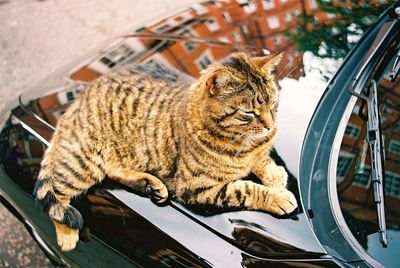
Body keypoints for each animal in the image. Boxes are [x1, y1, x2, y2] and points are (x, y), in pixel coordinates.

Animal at [33, 51, 296, 251]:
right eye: (249, 112)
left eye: (274, 103)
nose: (270, 125)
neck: (240, 140)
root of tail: (80, 98)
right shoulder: (196, 187)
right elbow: (245, 189)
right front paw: (277, 196)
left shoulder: (256, 151)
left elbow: (262, 160)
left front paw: (275, 175)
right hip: (84, 164)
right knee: (55, 194)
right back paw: (67, 234)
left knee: (113, 170)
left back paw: (150, 184)